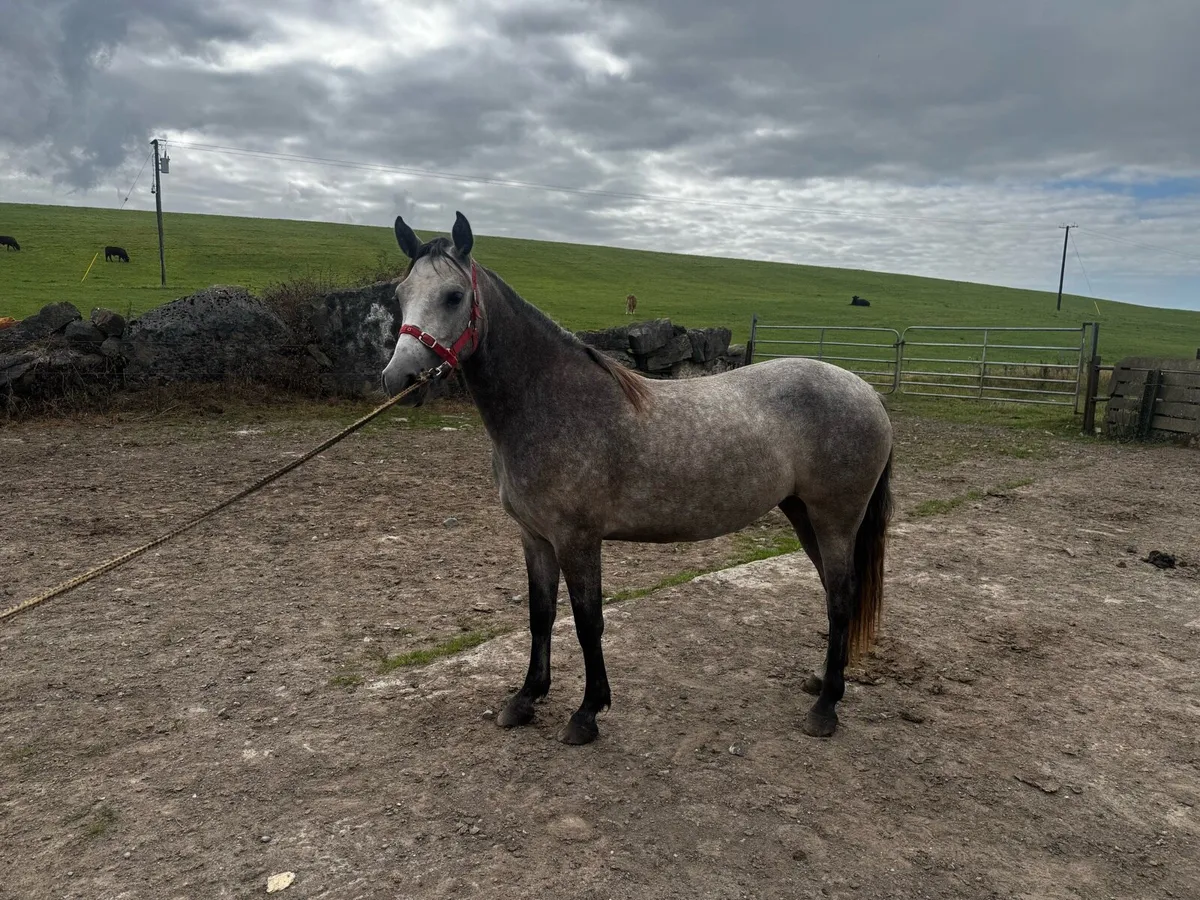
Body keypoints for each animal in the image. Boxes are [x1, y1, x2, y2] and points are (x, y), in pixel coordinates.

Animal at [381, 212, 894, 746]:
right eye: (399, 295)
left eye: (453, 296)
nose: (400, 380)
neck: (552, 403)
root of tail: (868, 393)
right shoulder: (535, 537)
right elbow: (540, 616)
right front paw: (525, 698)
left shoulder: (577, 539)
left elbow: (587, 622)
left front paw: (587, 713)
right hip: (803, 515)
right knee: (835, 592)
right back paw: (823, 681)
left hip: (835, 520)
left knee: (841, 599)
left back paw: (825, 707)